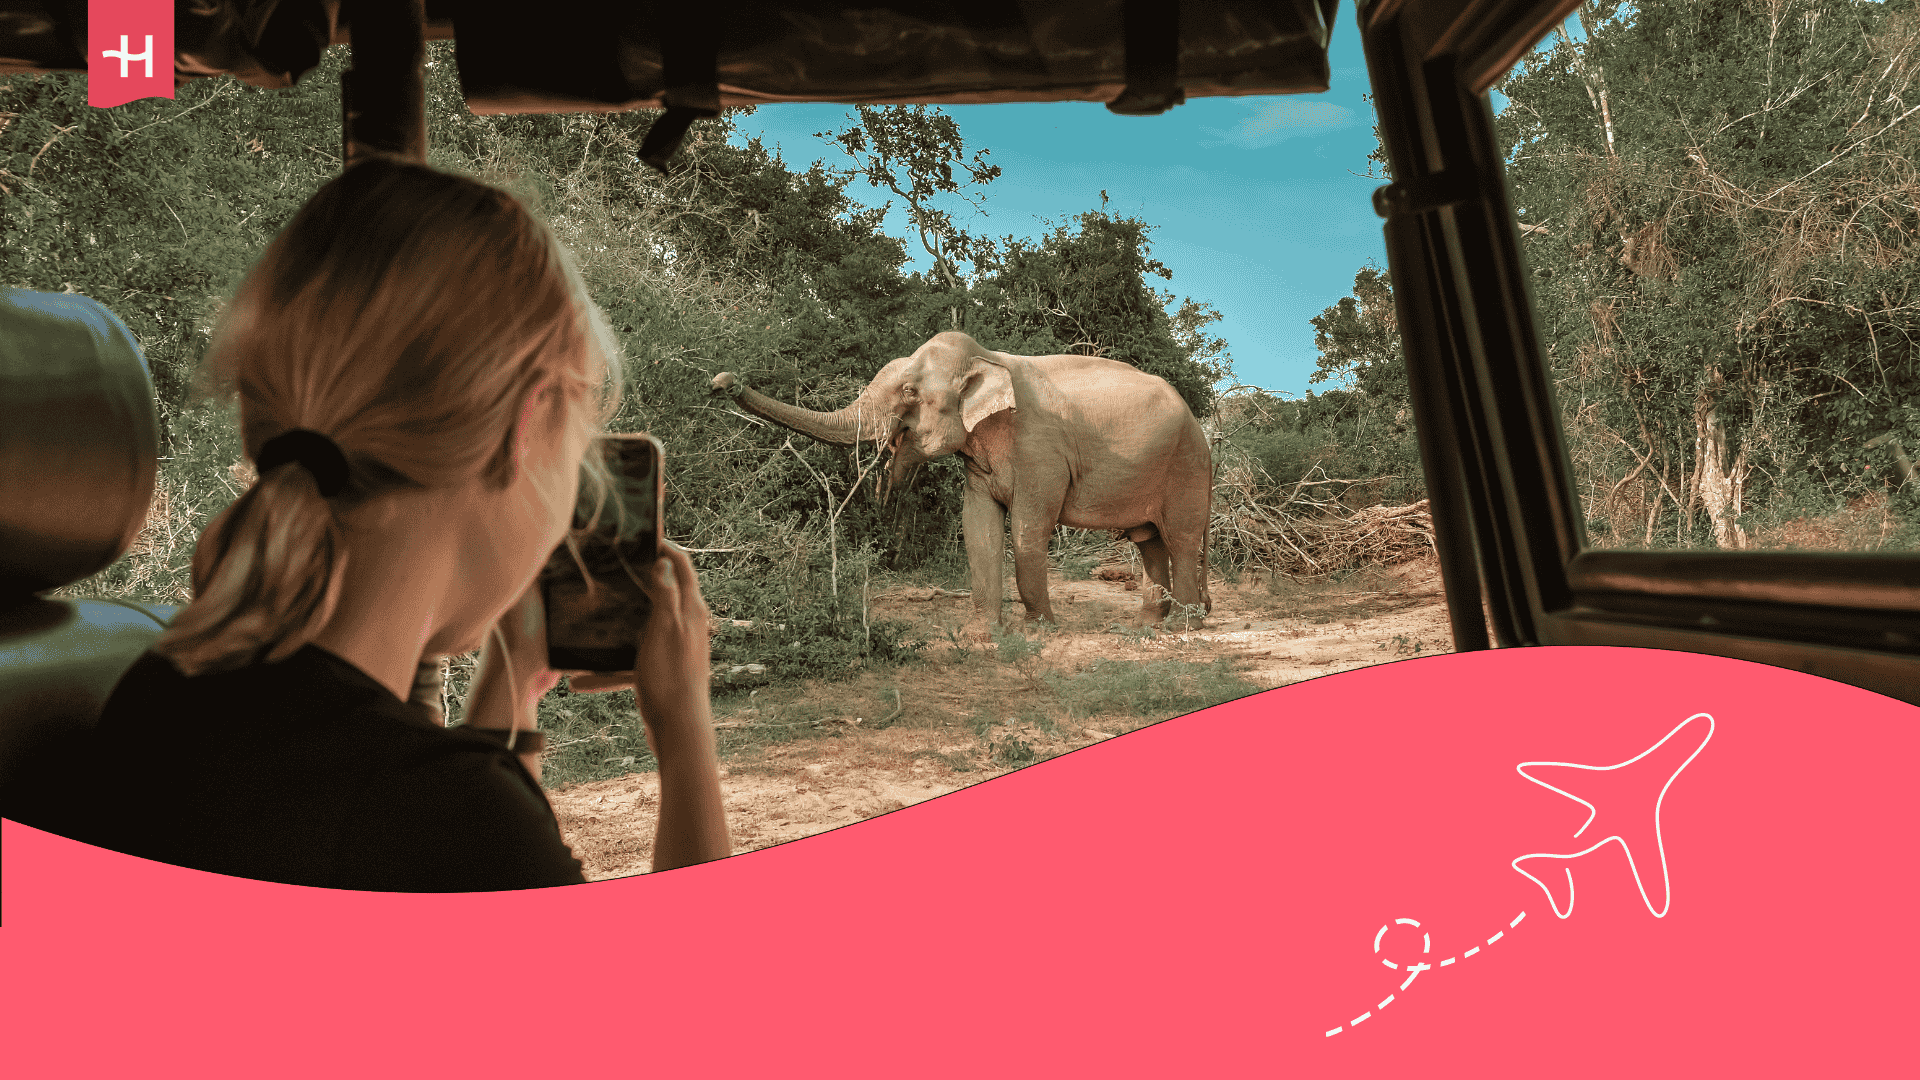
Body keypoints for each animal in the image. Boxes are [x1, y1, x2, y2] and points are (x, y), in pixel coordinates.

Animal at [714, 332, 1205, 626]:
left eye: (909, 392)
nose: (722, 381)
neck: (989, 357)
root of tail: (1202, 430)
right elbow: (977, 525)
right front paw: (985, 631)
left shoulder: (1041, 450)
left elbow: (1028, 528)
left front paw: (1039, 628)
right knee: (1149, 540)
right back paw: (1148, 623)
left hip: (1185, 467)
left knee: (1180, 539)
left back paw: (1184, 624)